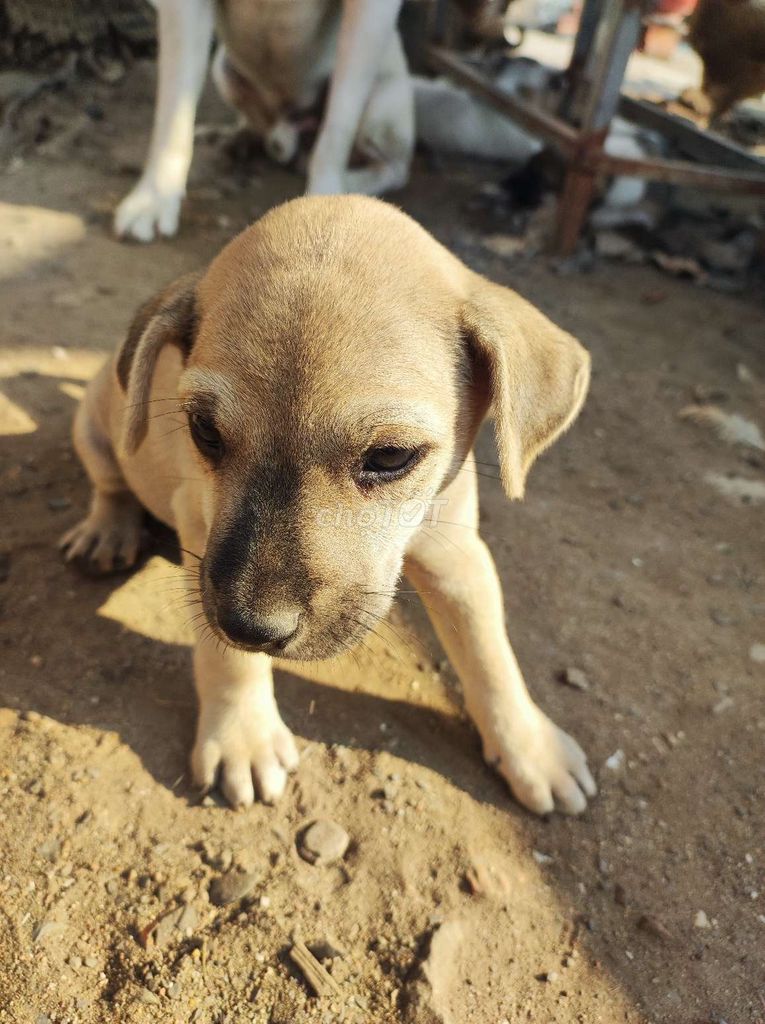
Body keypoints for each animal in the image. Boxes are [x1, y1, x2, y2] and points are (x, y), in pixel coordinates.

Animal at [61, 197, 598, 815]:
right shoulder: (201, 532)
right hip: (96, 425)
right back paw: (107, 531)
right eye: (204, 430)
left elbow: (491, 655)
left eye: (390, 456)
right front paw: (242, 736)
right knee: (110, 484)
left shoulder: (457, 554)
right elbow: (226, 658)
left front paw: (531, 749)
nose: (251, 625)